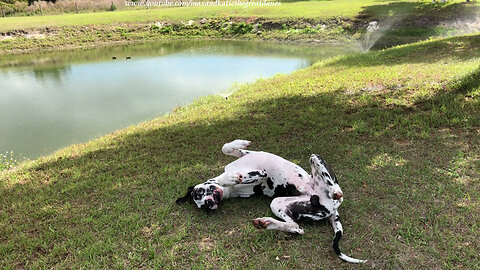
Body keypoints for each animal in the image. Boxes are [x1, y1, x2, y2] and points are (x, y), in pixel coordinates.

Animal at [176, 140, 368, 262]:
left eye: (199, 193)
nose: (209, 203)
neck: (230, 192)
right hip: (279, 203)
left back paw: (335, 190)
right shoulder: (259, 175)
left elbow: (226, 148)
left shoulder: (247, 156)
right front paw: (229, 178)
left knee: (332, 188)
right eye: (203, 206)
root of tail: (332, 210)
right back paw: (265, 223)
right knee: (296, 228)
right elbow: (229, 177)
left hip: (314, 159)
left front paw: (240, 144)